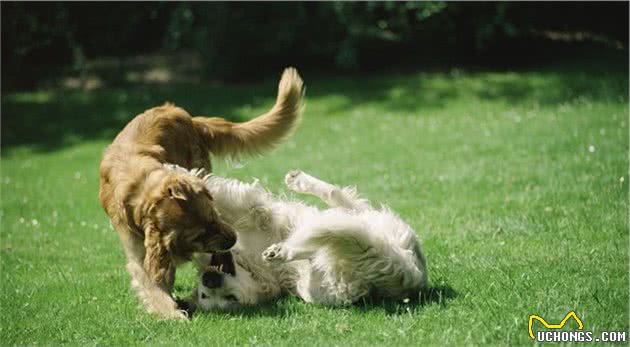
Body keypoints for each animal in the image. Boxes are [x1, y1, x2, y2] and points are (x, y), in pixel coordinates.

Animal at [99, 68, 306, 320]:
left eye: (213, 214)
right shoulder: (139, 252)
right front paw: (172, 311)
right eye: (198, 236)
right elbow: (153, 282)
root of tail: (184, 114)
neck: (141, 188)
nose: (233, 240)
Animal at [165, 166, 430, 310]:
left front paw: (175, 172)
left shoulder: (253, 213)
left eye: (231, 298)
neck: (251, 266)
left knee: (333, 205)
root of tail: (410, 277)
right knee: (337, 203)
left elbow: (219, 195)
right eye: (204, 296)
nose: (210, 280)